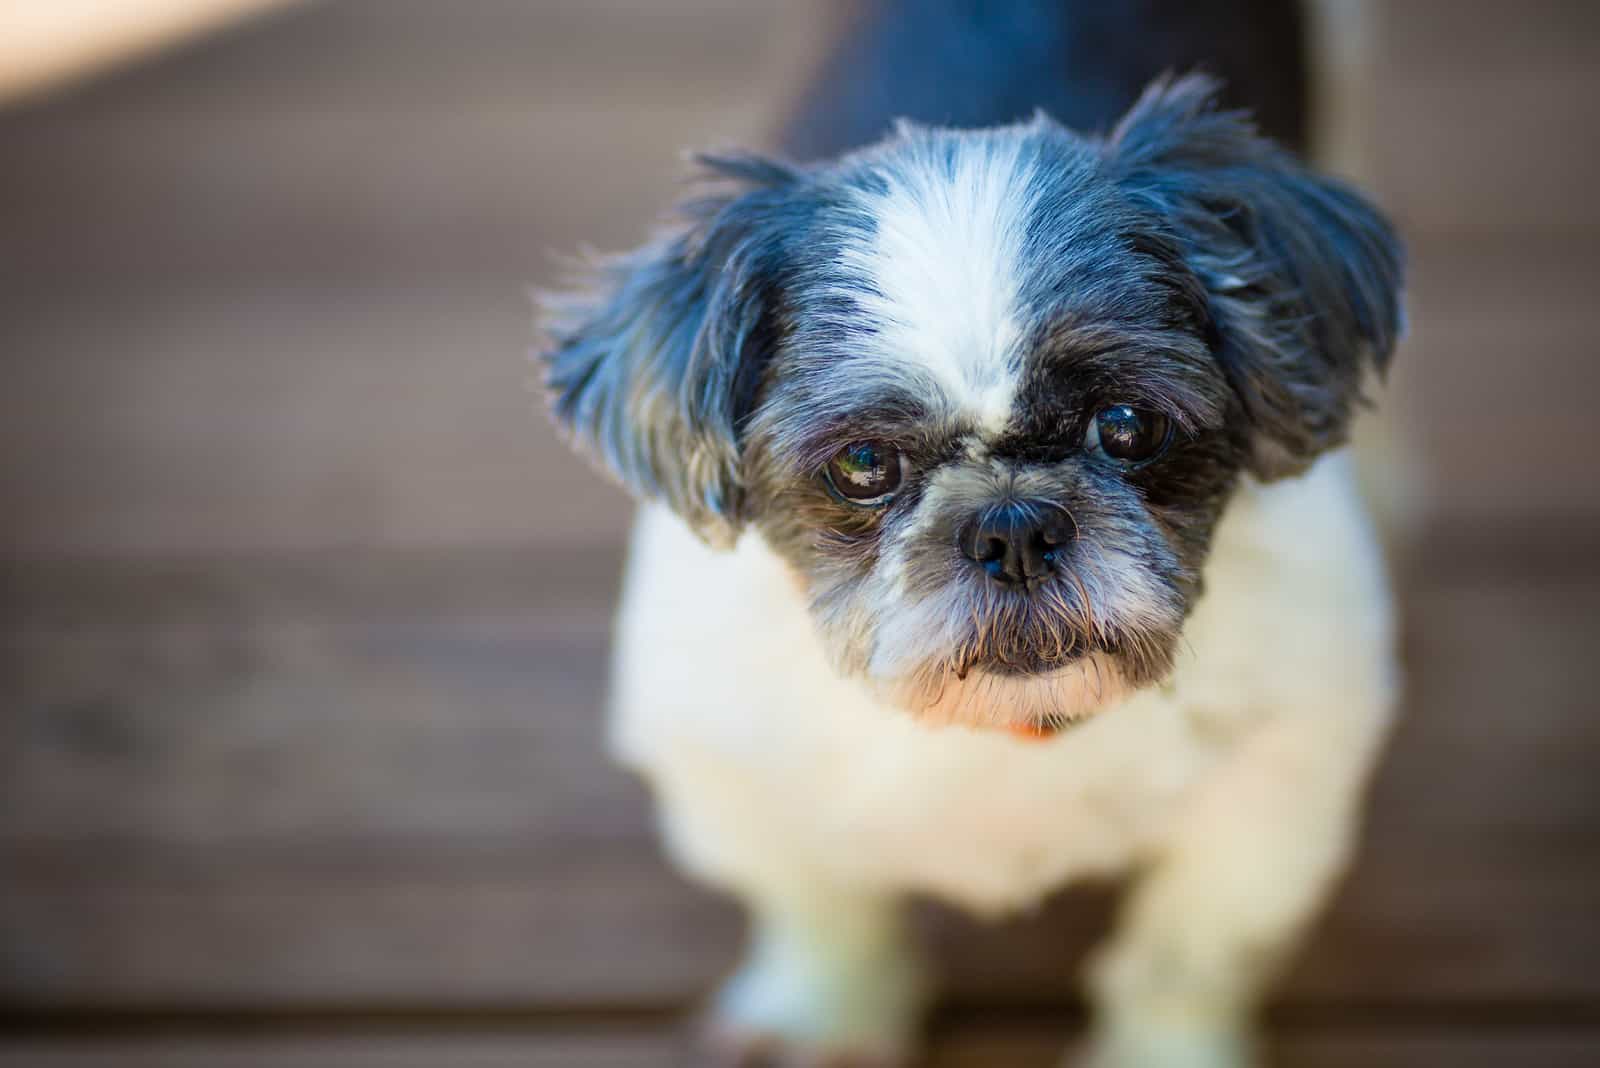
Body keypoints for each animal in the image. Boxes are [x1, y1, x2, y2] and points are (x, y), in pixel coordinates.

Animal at [534, 2, 1401, 1061]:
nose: (1013, 528)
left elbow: (1181, 960)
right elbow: (822, 910)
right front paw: (827, 1011)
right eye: (865, 464)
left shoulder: (1272, 801)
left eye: (1128, 425)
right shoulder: (734, 779)